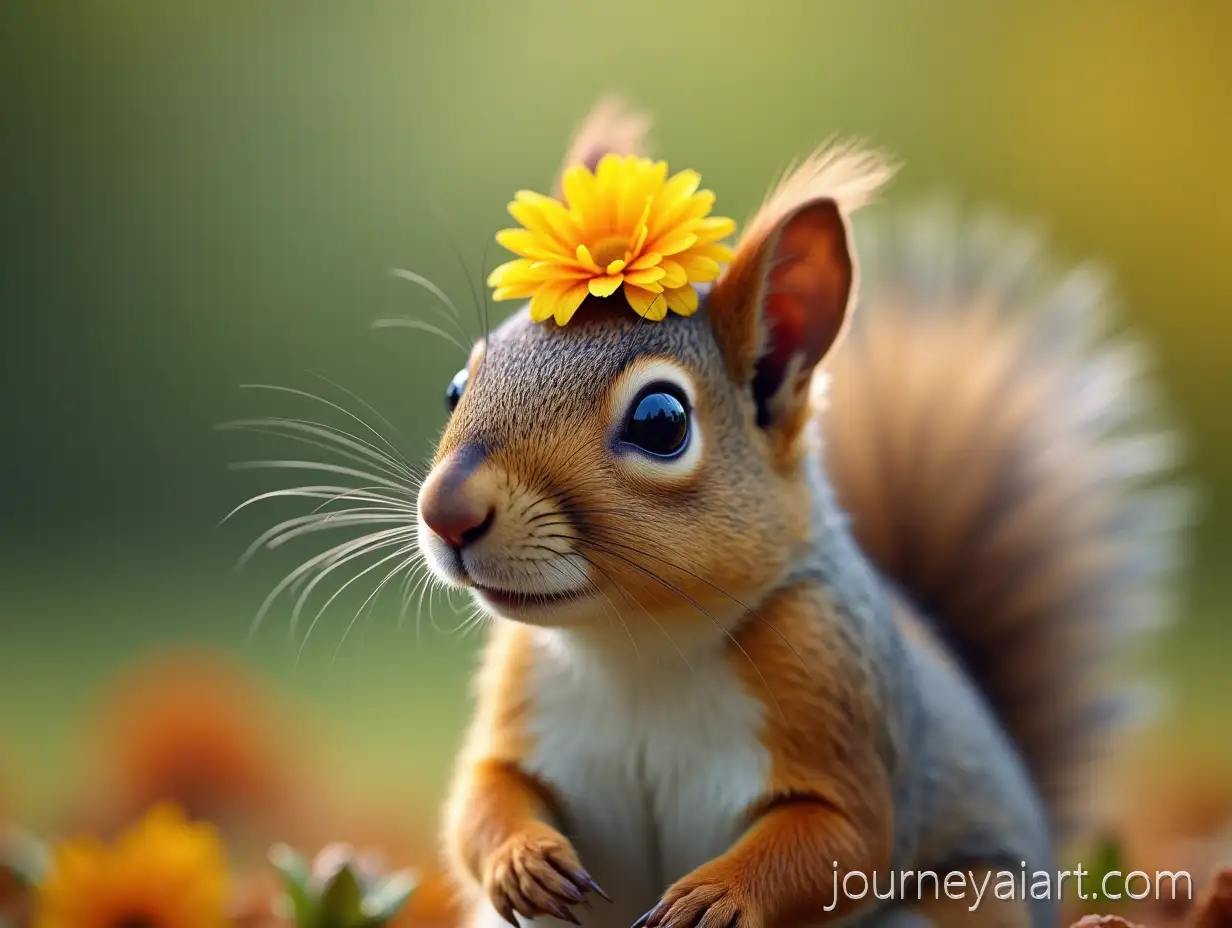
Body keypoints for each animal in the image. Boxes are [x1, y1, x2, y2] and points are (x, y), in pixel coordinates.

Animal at [414, 99, 1188, 928]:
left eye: (661, 422)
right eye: (457, 387)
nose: (446, 512)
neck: (636, 650)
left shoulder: (834, 703)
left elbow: (843, 838)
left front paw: (715, 896)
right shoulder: (518, 700)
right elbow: (478, 799)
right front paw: (521, 858)